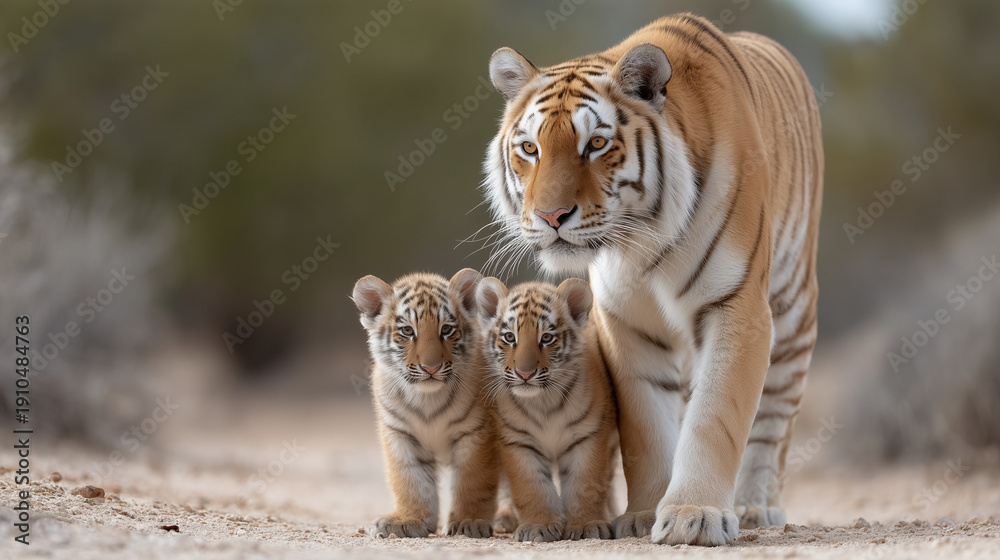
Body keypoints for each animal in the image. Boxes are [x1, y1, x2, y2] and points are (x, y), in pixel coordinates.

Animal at [352, 268, 505, 538]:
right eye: (407, 331)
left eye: (446, 329)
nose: (430, 368)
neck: (427, 399)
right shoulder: (400, 434)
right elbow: (410, 480)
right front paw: (408, 520)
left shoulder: (476, 433)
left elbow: (472, 480)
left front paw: (469, 522)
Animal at [475, 277, 619, 542]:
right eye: (509, 337)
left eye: (547, 338)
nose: (524, 374)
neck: (543, 402)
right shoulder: (517, 442)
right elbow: (531, 487)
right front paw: (537, 526)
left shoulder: (588, 437)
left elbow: (586, 484)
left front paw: (587, 526)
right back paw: (504, 518)